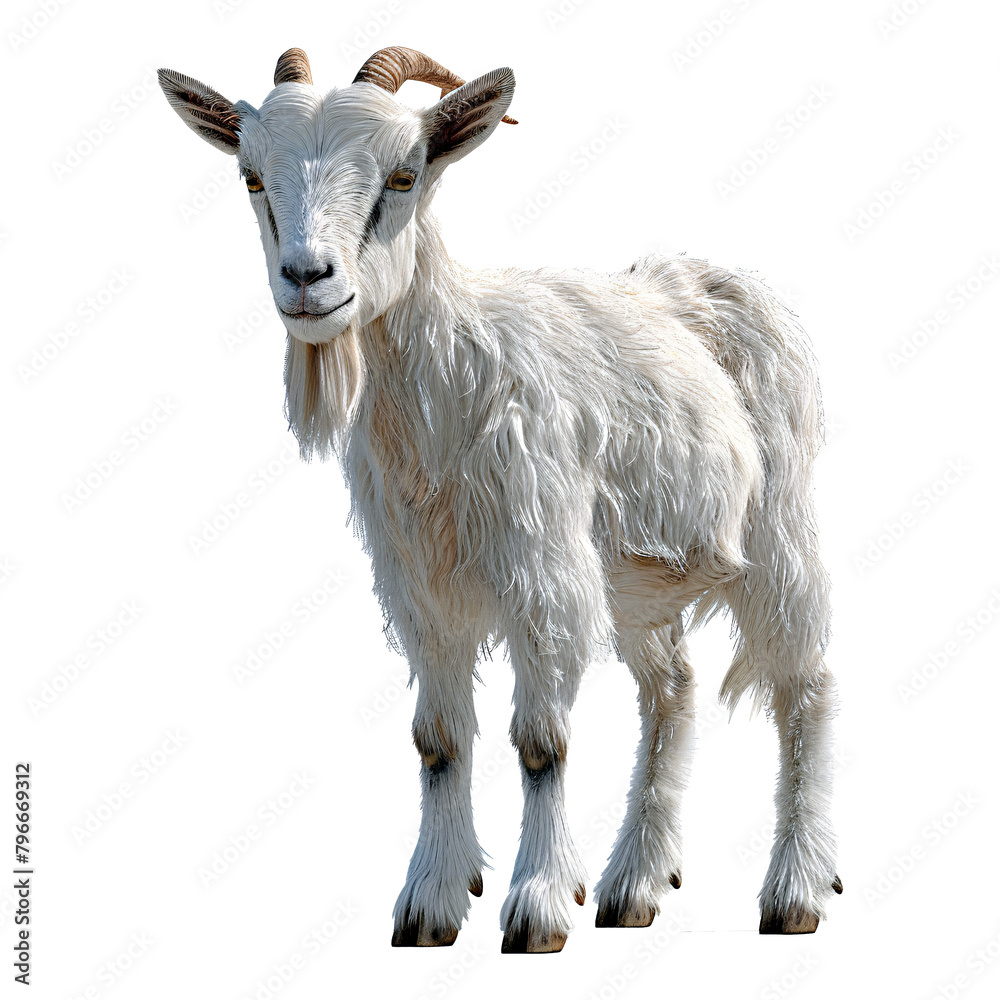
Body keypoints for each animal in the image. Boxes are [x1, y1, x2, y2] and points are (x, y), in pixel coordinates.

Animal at [158, 46, 841, 952]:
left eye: (404, 175)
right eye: (251, 178)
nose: (307, 279)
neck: (451, 386)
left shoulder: (543, 569)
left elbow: (541, 743)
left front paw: (539, 906)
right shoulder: (421, 588)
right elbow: (437, 742)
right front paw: (430, 904)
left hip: (778, 524)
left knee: (805, 683)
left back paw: (795, 891)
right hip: (635, 576)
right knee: (673, 689)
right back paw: (634, 886)